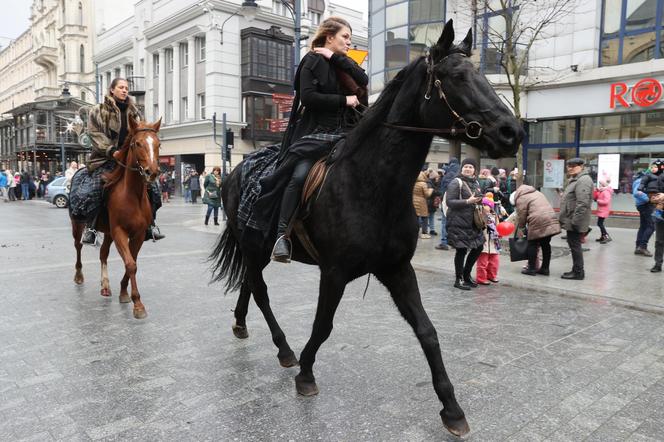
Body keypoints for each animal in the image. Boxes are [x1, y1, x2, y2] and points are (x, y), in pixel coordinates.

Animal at [70, 117, 163, 318]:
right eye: (138, 143)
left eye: (158, 144)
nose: (152, 172)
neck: (132, 195)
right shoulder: (119, 231)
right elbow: (130, 264)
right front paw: (138, 304)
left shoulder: (138, 234)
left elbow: (132, 262)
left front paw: (124, 292)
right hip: (78, 223)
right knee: (78, 246)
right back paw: (79, 276)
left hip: (108, 232)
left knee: (103, 253)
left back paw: (105, 285)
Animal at [210, 19, 520, 436]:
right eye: (457, 77)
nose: (511, 132)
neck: (373, 184)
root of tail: (236, 169)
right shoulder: (334, 272)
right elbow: (323, 326)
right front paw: (306, 374)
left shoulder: (397, 268)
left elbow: (428, 332)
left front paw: (452, 408)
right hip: (254, 244)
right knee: (259, 290)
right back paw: (285, 349)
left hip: (255, 247)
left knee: (249, 283)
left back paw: (243, 327)